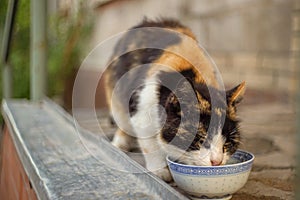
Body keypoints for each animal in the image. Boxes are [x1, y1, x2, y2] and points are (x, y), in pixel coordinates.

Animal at [104, 18, 245, 181]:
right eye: (201, 139)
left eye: (227, 143)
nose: (217, 162)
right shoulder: (142, 111)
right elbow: (150, 144)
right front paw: (161, 172)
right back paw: (120, 143)